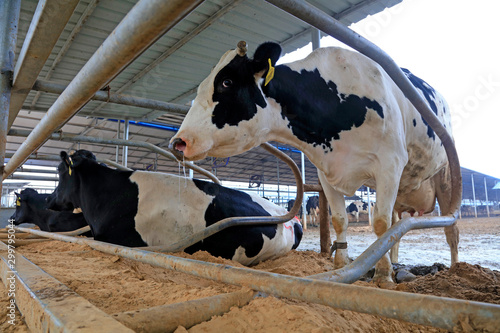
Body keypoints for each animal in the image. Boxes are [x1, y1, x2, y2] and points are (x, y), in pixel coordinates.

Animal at [170, 40, 458, 282]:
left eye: (226, 82)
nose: (178, 142)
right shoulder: (326, 173)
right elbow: (339, 220)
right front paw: (341, 265)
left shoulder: (389, 165)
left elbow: (380, 224)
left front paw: (383, 275)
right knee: (397, 226)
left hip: (445, 177)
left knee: (449, 229)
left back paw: (456, 269)